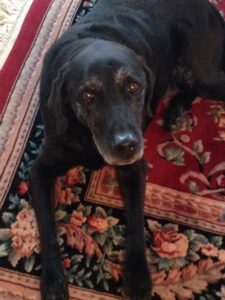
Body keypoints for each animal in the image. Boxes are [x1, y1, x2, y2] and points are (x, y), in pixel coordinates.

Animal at [29, 1, 225, 298]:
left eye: (133, 87)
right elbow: (47, 227)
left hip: (203, 72)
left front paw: (138, 275)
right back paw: (174, 110)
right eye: (88, 96)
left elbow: (134, 219)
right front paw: (52, 279)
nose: (126, 144)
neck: (89, 139)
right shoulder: (40, 170)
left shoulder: (134, 169)